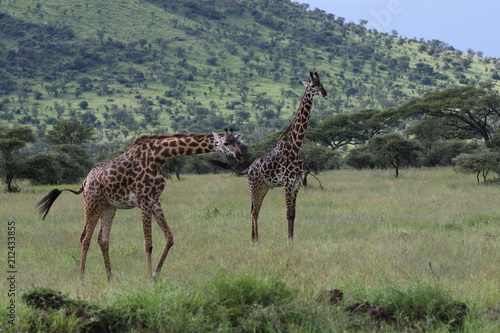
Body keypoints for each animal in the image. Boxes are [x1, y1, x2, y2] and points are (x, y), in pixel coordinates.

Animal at [37, 127, 244, 280]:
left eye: (239, 142)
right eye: (226, 143)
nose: (240, 156)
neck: (160, 156)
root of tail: (85, 182)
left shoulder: (155, 200)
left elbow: (169, 237)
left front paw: (155, 274)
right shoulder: (144, 200)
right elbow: (148, 243)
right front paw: (149, 279)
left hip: (108, 208)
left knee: (102, 240)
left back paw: (110, 278)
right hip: (92, 204)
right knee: (85, 238)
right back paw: (81, 279)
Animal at [244, 72, 326, 243]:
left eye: (322, 83)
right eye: (313, 85)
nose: (324, 92)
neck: (295, 148)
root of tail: (249, 168)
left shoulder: (296, 183)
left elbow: (293, 214)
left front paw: (292, 240)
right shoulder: (287, 183)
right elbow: (288, 213)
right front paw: (289, 241)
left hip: (264, 186)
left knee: (256, 209)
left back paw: (255, 239)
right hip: (254, 185)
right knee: (254, 210)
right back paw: (255, 241)